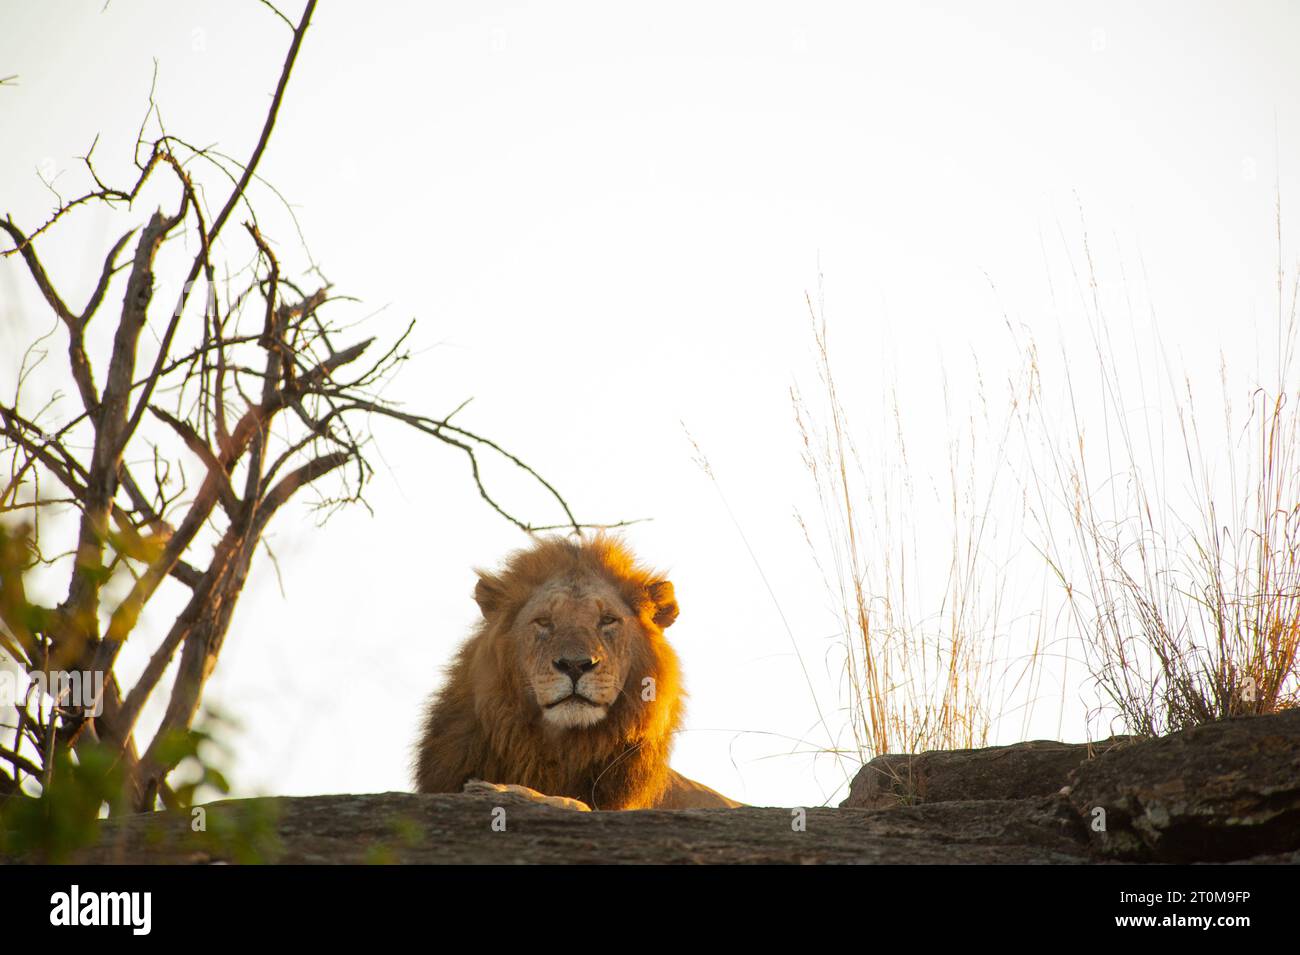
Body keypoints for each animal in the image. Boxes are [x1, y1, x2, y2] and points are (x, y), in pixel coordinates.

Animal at [412, 534, 741, 810]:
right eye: (544, 622)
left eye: (607, 620)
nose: (575, 665)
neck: (563, 749)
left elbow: (575, 804)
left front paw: (508, 792)